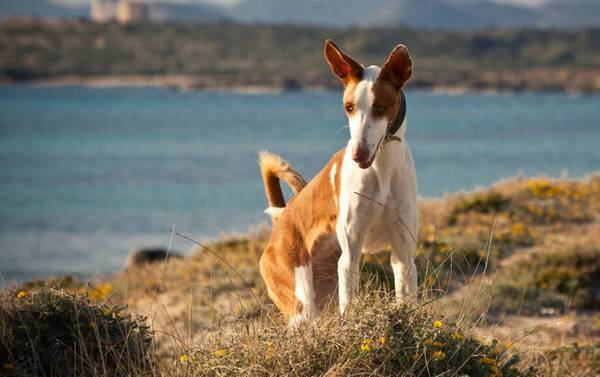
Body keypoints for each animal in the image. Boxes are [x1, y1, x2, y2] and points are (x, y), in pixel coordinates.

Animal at [256, 39, 418, 326]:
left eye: (380, 107)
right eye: (349, 107)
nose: (358, 155)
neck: (382, 169)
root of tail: (281, 221)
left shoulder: (404, 254)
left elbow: (407, 301)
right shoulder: (350, 256)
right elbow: (350, 305)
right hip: (301, 303)